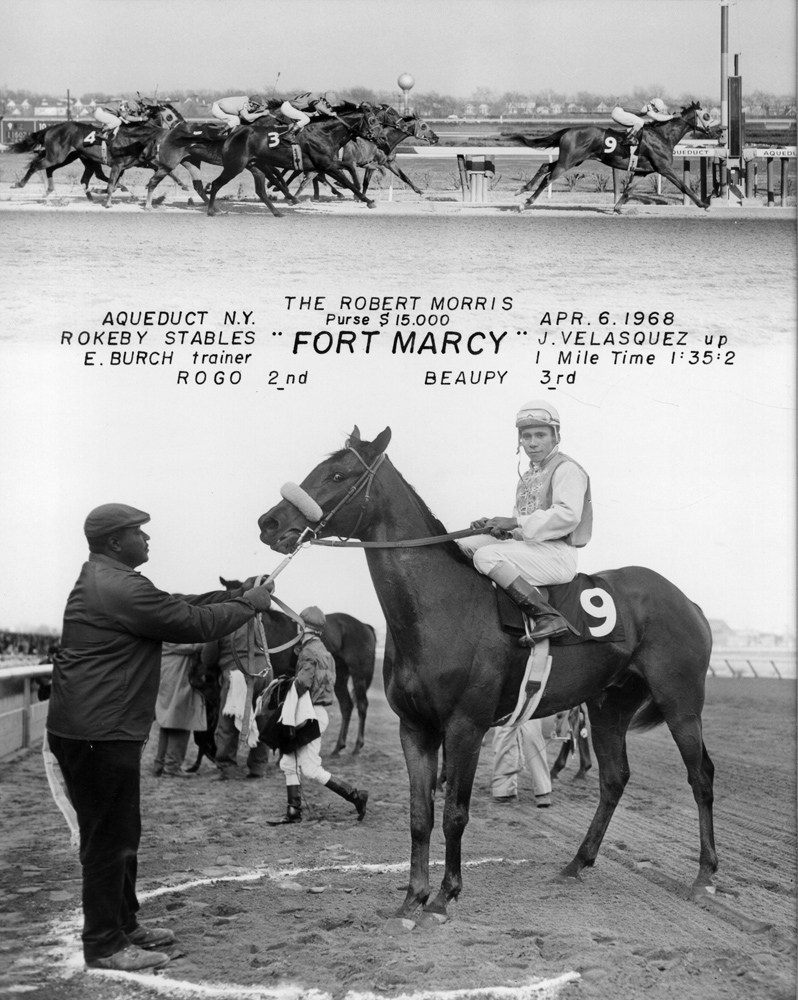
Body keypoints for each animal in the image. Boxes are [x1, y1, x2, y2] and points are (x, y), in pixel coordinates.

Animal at [205, 103, 382, 215]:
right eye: (373, 120)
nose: (381, 139)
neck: (324, 133)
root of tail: (232, 133)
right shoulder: (325, 165)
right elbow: (346, 181)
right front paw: (367, 200)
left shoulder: (327, 163)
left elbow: (349, 168)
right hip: (235, 166)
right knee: (216, 184)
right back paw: (212, 210)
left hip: (254, 165)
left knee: (260, 190)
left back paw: (279, 211)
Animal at [260, 428, 720, 920]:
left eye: (338, 474)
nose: (269, 521)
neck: (439, 607)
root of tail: (688, 601)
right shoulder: (415, 727)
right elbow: (420, 814)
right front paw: (411, 898)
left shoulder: (466, 726)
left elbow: (454, 814)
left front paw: (443, 897)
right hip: (608, 705)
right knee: (614, 778)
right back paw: (577, 863)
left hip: (680, 702)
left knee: (701, 775)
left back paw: (705, 875)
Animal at [512, 103, 724, 211]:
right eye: (706, 115)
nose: (719, 129)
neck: (663, 135)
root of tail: (568, 130)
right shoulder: (664, 168)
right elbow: (683, 186)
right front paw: (703, 204)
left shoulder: (643, 171)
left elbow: (629, 189)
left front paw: (617, 208)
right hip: (568, 162)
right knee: (548, 177)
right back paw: (525, 203)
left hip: (573, 160)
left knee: (544, 166)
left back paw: (522, 189)